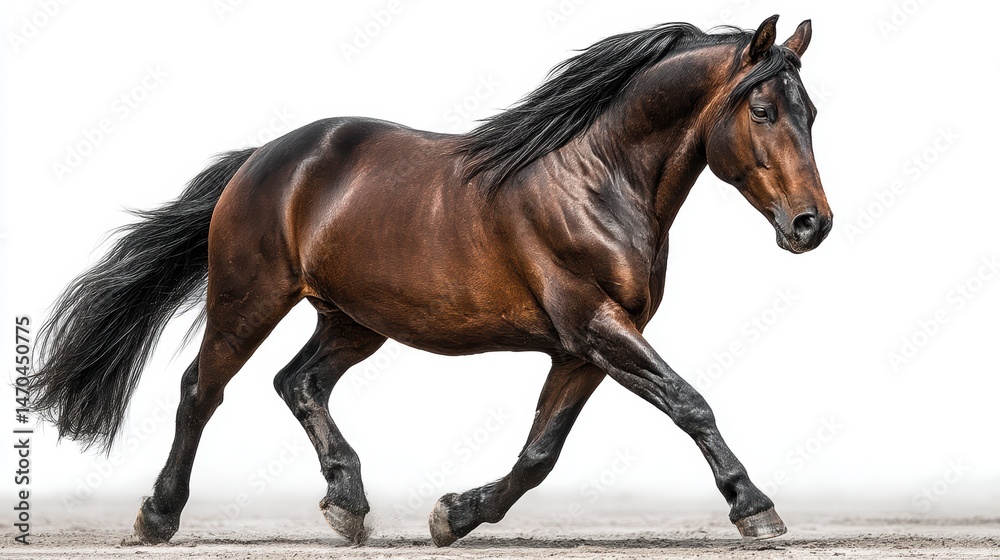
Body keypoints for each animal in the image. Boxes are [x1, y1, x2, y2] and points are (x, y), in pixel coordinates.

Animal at [31, 15, 831, 546]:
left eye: (813, 113)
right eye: (764, 110)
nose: (811, 225)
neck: (597, 181)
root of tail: (264, 158)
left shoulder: (581, 348)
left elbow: (540, 454)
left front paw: (454, 514)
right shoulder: (595, 326)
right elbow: (690, 403)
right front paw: (755, 507)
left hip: (354, 319)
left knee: (298, 382)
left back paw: (348, 504)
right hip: (249, 298)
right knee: (202, 389)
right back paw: (158, 514)